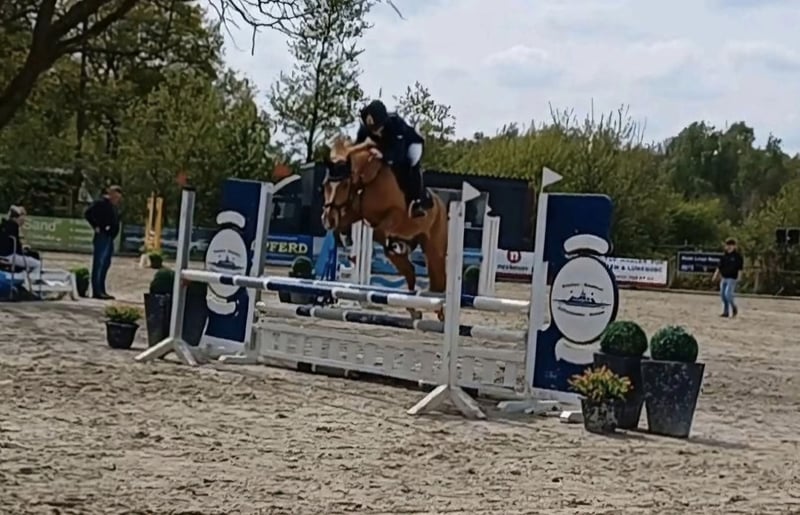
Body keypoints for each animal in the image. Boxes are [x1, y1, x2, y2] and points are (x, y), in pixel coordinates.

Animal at [320, 136, 448, 320]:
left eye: (344, 185)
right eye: (325, 185)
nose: (327, 219)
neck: (368, 181)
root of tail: (440, 204)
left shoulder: (395, 215)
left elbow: (379, 230)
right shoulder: (354, 214)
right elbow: (341, 227)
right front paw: (349, 247)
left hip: (434, 248)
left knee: (438, 276)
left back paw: (440, 311)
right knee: (410, 271)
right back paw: (414, 310)